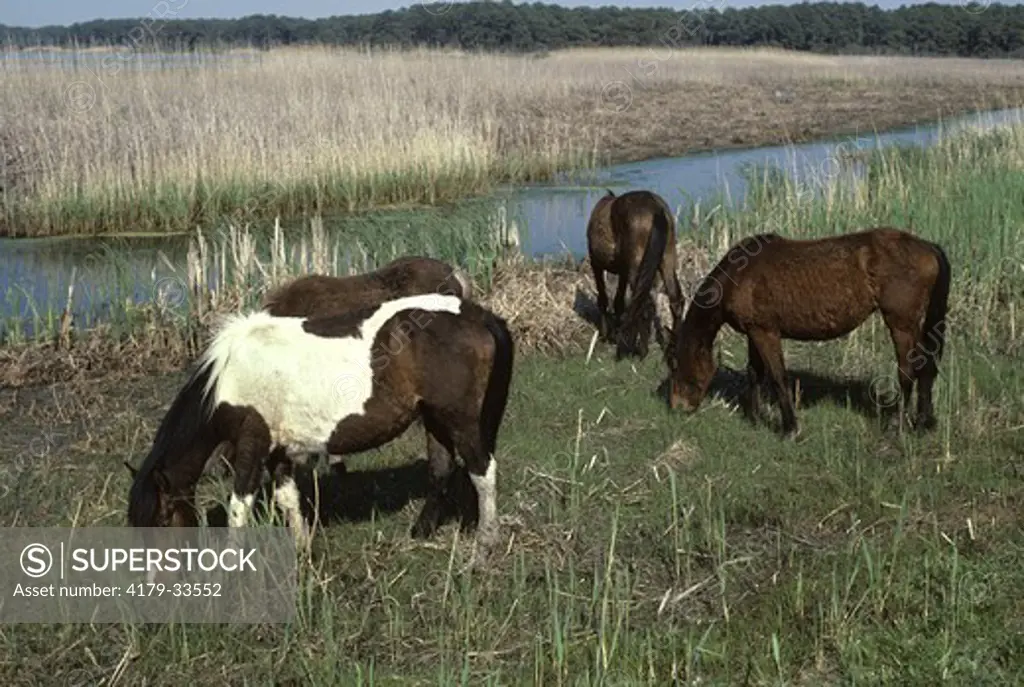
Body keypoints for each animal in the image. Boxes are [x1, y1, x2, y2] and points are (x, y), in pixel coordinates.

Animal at [589, 188, 684, 360]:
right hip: (667, 258)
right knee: (675, 300)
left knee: (643, 304)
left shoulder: (596, 264)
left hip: (637, 266)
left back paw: (642, 351)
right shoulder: (623, 272)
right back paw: (672, 349)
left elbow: (604, 299)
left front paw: (606, 334)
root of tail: (656, 209)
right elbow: (619, 301)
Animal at [671, 228, 950, 438]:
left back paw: (899, 425)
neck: (739, 274)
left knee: (908, 371)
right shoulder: (754, 333)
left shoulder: (765, 332)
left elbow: (777, 376)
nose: (677, 407)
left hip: (902, 324)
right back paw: (923, 422)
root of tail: (928, 247)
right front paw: (755, 417)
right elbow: (754, 373)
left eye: (678, 367)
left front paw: (789, 429)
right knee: (926, 368)